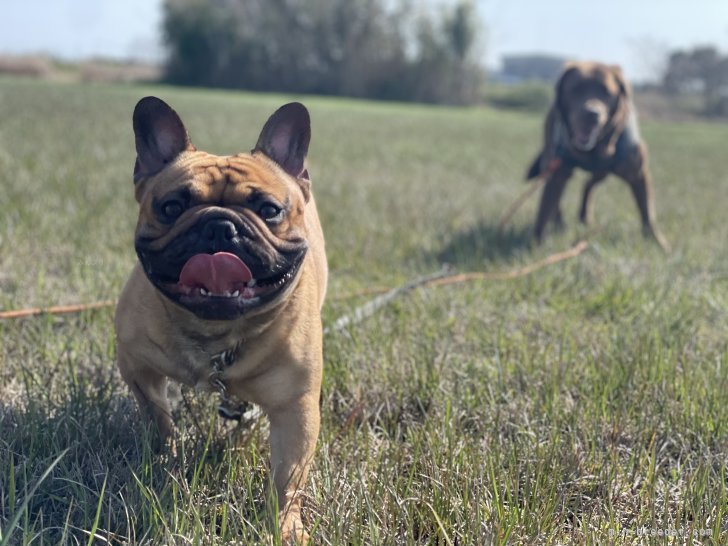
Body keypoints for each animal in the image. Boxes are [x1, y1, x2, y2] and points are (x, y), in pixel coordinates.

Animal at [114, 95, 328, 540]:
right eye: (172, 206)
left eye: (269, 210)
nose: (219, 225)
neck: (215, 332)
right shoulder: (138, 367)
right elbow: (158, 419)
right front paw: (165, 459)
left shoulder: (295, 408)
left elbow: (288, 478)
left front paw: (284, 526)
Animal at [528, 60, 668, 250]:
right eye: (576, 89)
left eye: (607, 92)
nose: (592, 114)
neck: (592, 150)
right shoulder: (556, 172)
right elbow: (544, 210)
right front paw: (537, 243)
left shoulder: (638, 174)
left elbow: (648, 213)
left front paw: (659, 244)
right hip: (552, 160)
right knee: (558, 202)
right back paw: (560, 225)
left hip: (602, 172)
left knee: (588, 184)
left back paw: (584, 216)